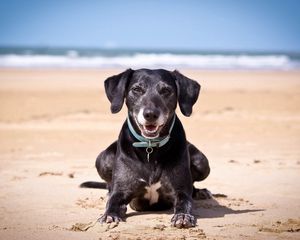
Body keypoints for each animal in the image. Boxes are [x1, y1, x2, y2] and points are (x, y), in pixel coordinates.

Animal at [81, 68, 210, 228]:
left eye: (166, 90)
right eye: (136, 89)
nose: (150, 114)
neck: (150, 147)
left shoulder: (180, 190)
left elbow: (185, 201)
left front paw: (183, 216)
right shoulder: (121, 190)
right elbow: (113, 202)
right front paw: (109, 215)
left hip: (202, 162)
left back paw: (200, 192)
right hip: (103, 159)